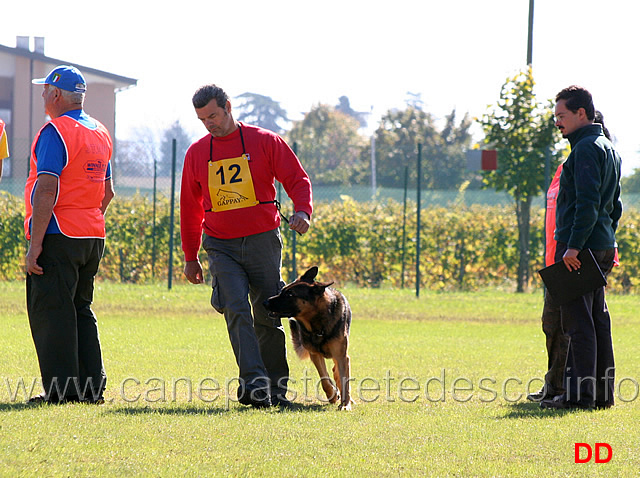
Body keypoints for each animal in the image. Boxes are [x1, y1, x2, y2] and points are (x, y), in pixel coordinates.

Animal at [266, 268, 356, 408]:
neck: (318, 325)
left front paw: (345, 405)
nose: (265, 302)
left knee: (338, 373)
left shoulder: (341, 356)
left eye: (290, 294)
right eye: (282, 291)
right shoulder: (315, 355)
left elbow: (344, 381)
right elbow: (324, 379)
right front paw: (332, 395)